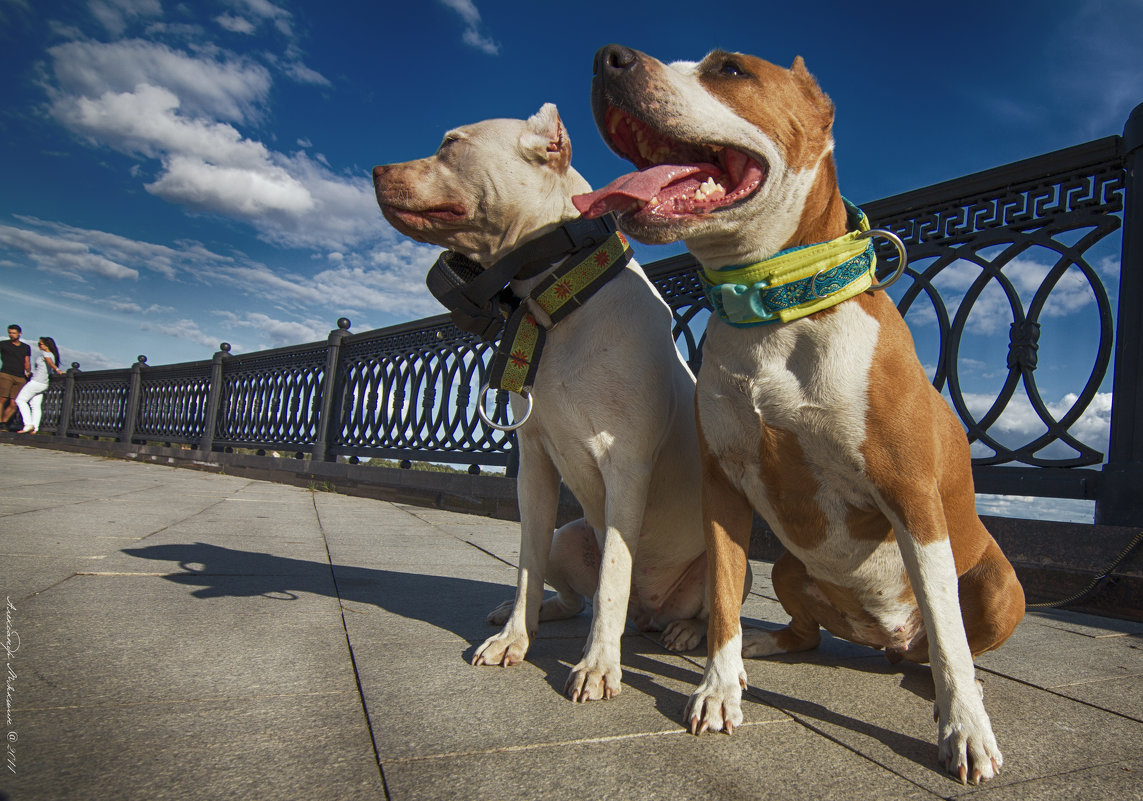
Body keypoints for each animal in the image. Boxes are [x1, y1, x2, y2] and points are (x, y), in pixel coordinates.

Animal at [370, 104, 722, 699]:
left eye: (450, 143)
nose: (373, 169)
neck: (556, 303)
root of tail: (648, 616)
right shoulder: (534, 460)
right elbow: (526, 562)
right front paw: (515, 637)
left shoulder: (627, 465)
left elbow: (615, 573)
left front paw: (598, 666)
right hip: (570, 535)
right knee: (577, 595)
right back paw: (536, 613)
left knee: (683, 606)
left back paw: (684, 631)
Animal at [580, 45, 1028, 781]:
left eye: (729, 69)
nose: (607, 57)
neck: (774, 307)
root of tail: (884, 638)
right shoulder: (724, 490)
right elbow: (724, 595)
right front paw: (717, 687)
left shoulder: (911, 494)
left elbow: (948, 629)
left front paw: (964, 728)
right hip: (789, 567)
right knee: (808, 633)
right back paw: (759, 646)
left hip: (996, 581)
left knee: (944, 642)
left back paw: (943, 681)